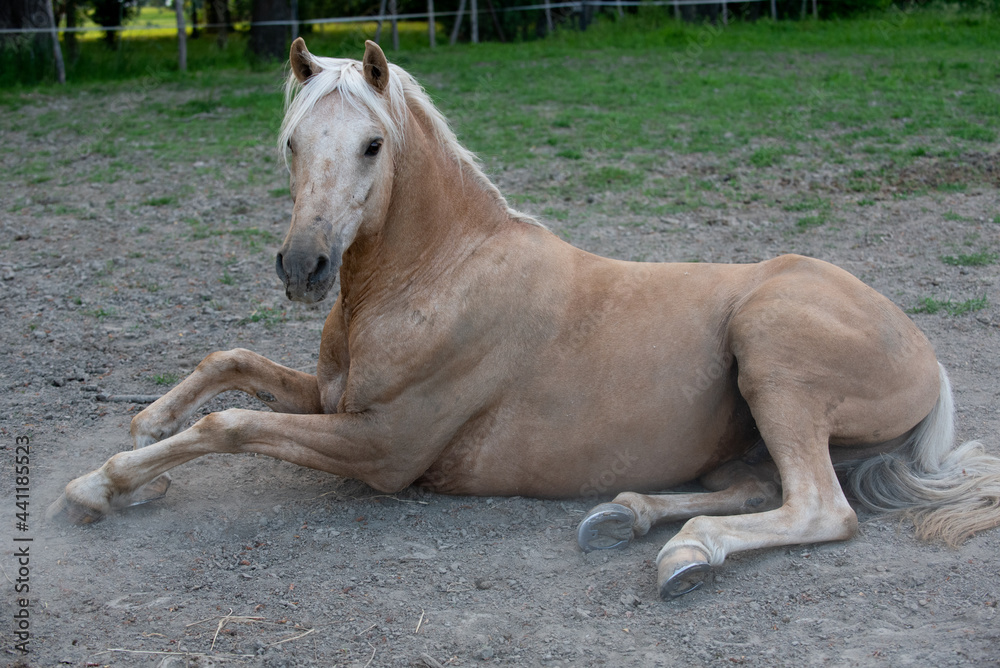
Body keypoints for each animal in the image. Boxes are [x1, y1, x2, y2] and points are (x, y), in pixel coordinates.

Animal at [48, 38, 1000, 600]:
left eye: (372, 145)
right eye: (291, 143)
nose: (304, 268)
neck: (440, 273)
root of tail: (926, 356)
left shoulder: (383, 447)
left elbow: (233, 425)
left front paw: (101, 486)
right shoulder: (332, 400)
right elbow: (232, 361)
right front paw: (145, 430)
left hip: (772, 350)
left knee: (820, 507)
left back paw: (685, 554)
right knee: (760, 485)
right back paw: (624, 516)